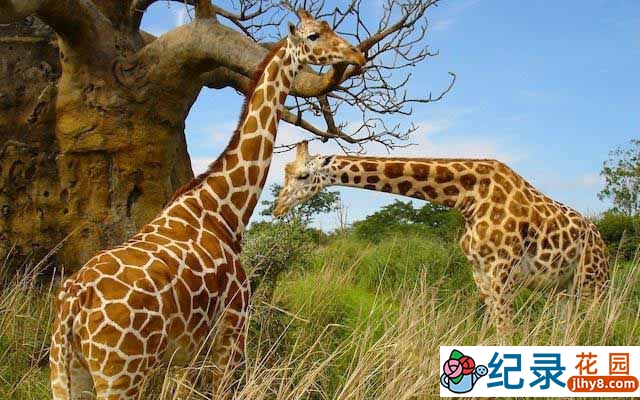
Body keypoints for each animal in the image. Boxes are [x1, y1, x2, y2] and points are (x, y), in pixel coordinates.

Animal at [49, 12, 365, 400]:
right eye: (314, 35)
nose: (356, 54)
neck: (223, 210)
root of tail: (73, 305)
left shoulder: (186, 351)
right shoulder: (232, 326)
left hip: (65, 371)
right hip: (120, 374)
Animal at [272, 141, 610, 332]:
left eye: (302, 175)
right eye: (285, 173)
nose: (277, 208)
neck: (468, 198)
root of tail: (601, 241)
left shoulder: (503, 271)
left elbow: (507, 332)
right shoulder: (480, 273)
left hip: (593, 284)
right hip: (563, 289)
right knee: (568, 331)